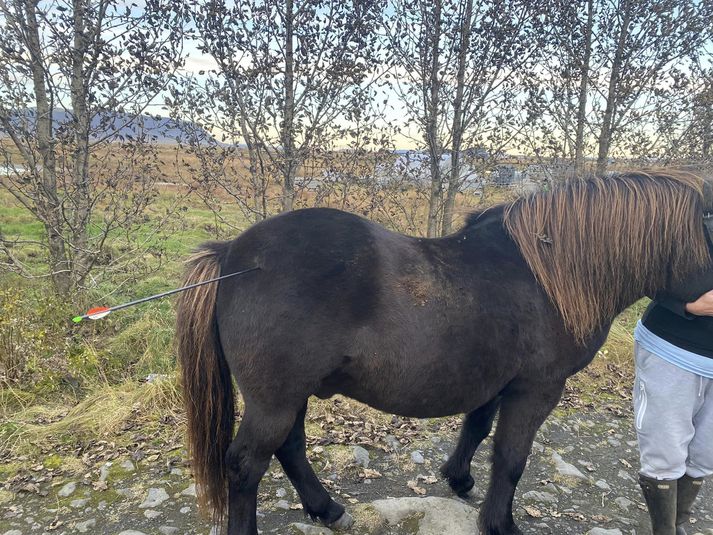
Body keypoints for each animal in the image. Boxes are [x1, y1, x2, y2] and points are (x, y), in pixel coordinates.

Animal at [175, 172, 712, 535]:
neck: (548, 274)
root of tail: (234, 255)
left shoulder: (495, 381)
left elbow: (477, 429)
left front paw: (458, 479)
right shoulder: (538, 388)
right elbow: (511, 456)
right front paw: (500, 523)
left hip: (291, 395)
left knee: (288, 448)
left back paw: (327, 509)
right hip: (276, 399)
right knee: (246, 465)